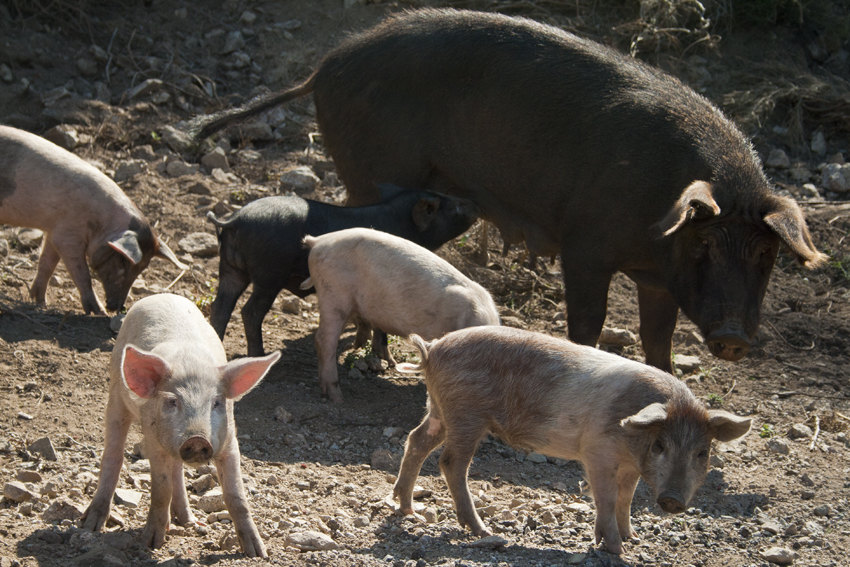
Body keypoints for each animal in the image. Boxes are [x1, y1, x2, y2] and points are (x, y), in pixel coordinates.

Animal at [192, 8, 820, 374]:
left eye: (766, 255)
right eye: (706, 244)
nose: (734, 337)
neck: (658, 236)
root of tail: (323, 68)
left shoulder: (657, 279)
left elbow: (657, 337)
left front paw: (662, 378)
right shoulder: (585, 248)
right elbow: (588, 321)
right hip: (365, 167)